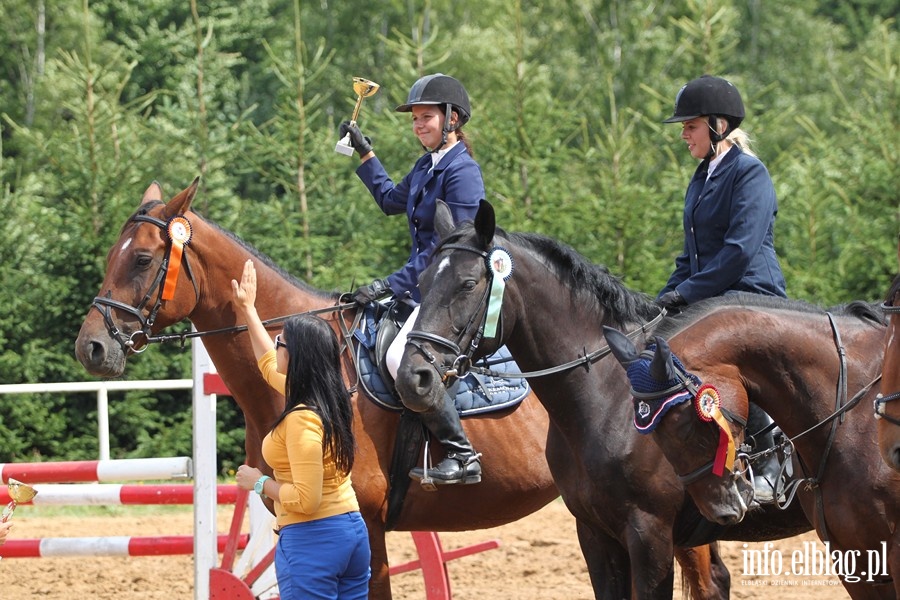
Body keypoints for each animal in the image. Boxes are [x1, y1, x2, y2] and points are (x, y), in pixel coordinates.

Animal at [398, 202, 812, 600]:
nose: (412, 377)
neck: (606, 399)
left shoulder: (650, 534)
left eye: (468, 284)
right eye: (422, 282)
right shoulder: (595, 533)